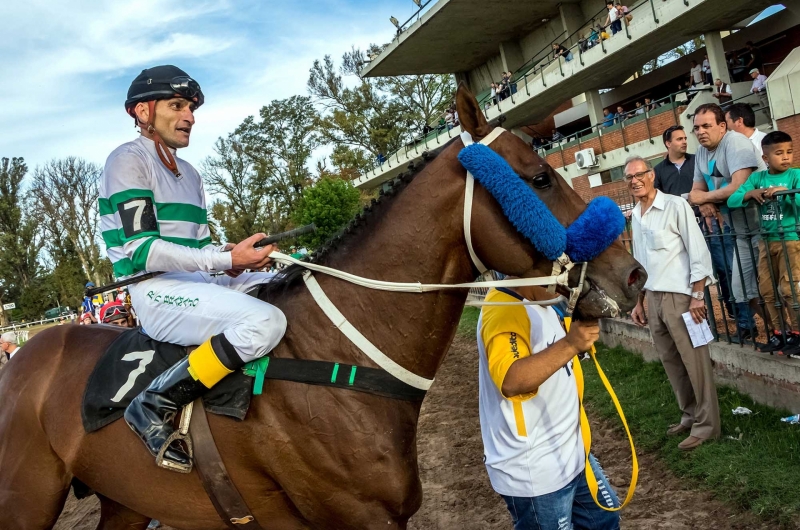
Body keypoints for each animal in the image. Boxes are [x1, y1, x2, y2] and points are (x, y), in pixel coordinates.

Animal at [0, 84, 644, 524]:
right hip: (25, 499)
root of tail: (22, 357)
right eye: (539, 177)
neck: (339, 358)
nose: (632, 273)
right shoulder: (357, 516)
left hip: (124, 501)